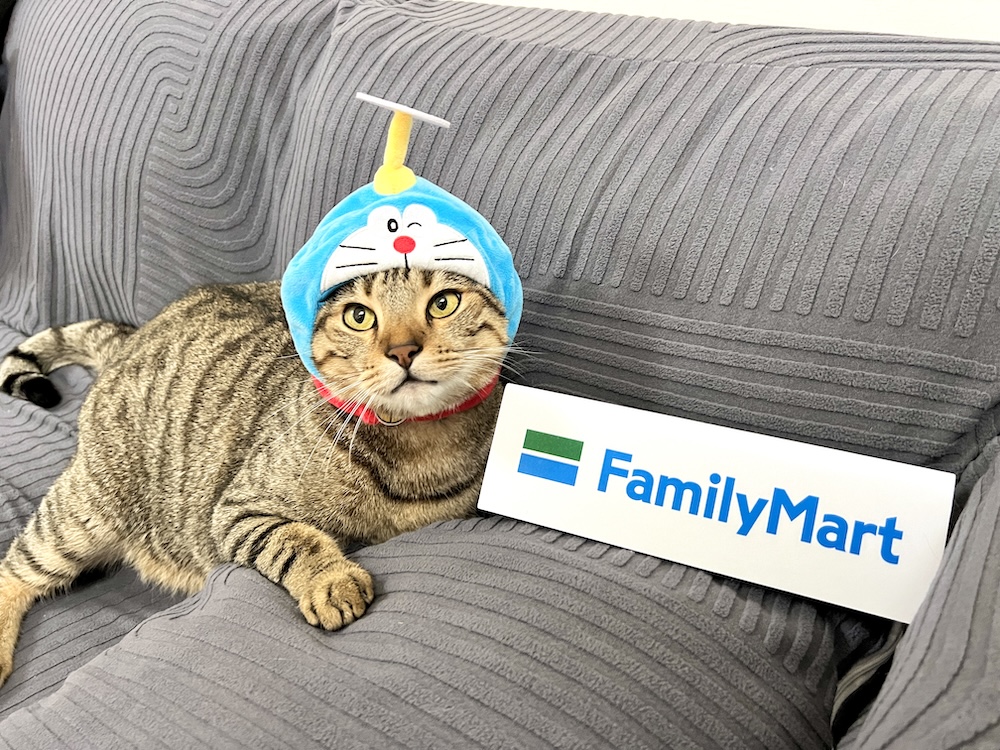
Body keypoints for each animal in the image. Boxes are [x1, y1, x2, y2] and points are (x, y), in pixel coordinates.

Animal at [0, 267, 510, 686]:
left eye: (442, 303)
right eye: (359, 317)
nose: (403, 350)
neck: (419, 449)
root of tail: (134, 336)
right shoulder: (235, 509)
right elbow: (296, 540)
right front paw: (330, 581)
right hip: (87, 510)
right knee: (16, 566)